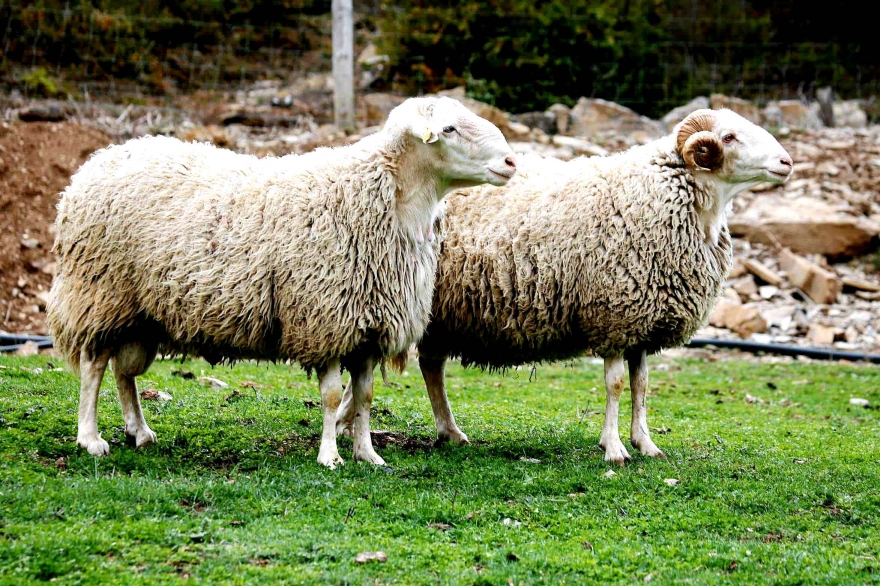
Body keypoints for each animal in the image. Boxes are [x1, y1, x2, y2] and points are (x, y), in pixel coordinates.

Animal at [48, 96, 516, 466]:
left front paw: (368, 454)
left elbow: (364, 397)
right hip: (99, 291)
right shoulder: (324, 317)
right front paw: (330, 456)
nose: (512, 161)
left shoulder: (367, 324)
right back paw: (90, 437)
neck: (380, 196)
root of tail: (98, 160)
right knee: (93, 366)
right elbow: (332, 397)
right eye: (449, 128)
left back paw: (139, 431)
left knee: (124, 372)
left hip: (138, 313)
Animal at [340, 109, 796, 464]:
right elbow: (615, 385)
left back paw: (441, 430)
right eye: (729, 137)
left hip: (439, 312)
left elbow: (641, 385)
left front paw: (645, 443)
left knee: (430, 365)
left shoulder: (643, 324)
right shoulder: (615, 315)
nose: (786, 162)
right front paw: (614, 448)